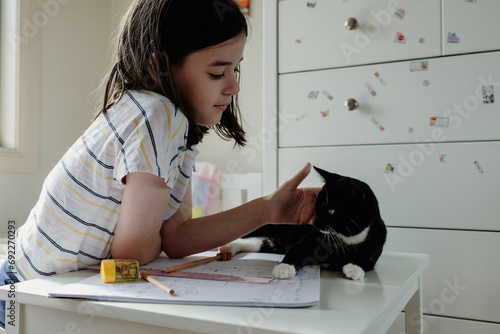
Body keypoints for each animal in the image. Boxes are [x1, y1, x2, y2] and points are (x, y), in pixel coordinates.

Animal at [220, 166, 386, 280]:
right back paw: (228, 247)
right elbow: (296, 249)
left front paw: (354, 268)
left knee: (257, 243)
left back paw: (231, 248)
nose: (315, 222)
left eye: (331, 211)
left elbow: (368, 262)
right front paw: (284, 267)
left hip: (272, 244)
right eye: (316, 206)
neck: (347, 239)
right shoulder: (311, 239)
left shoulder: (377, 244)